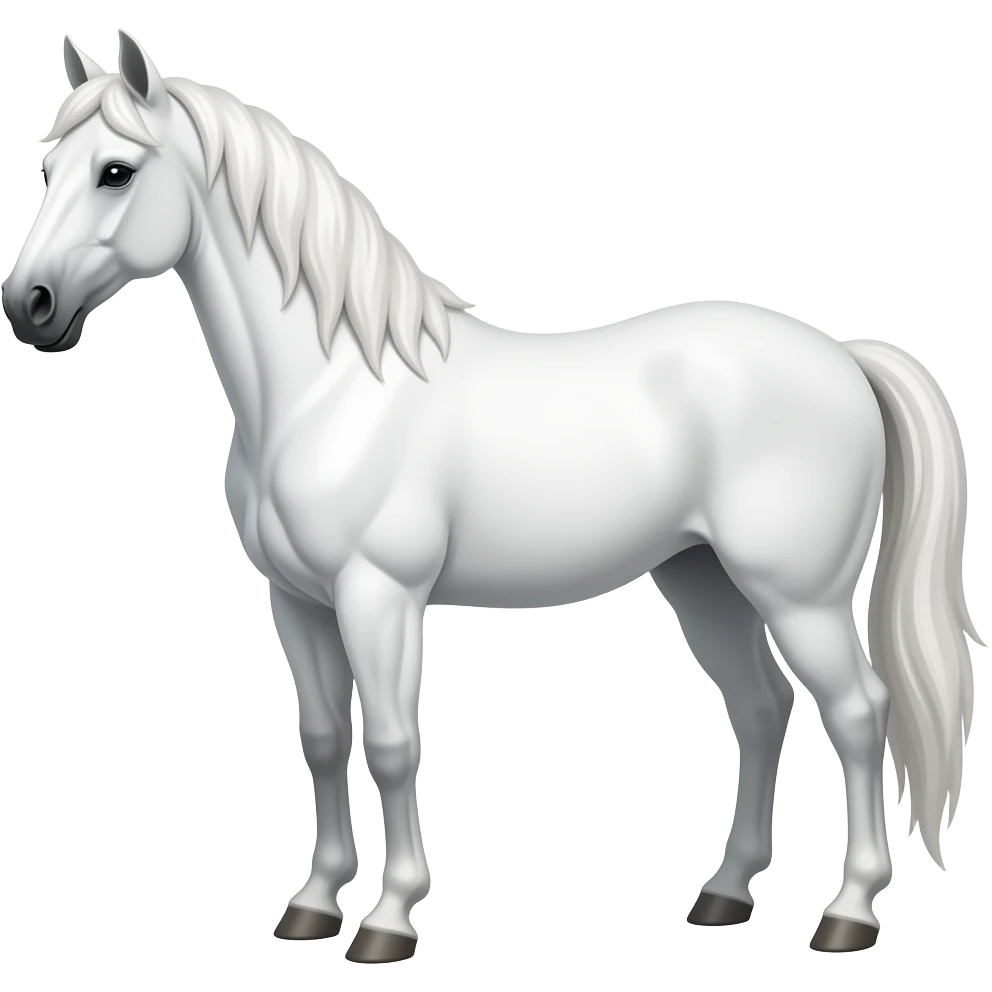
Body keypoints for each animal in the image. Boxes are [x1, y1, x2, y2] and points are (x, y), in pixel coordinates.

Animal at [2, 29, 981, 962]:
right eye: (49, 168)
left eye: (117, 171)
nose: (30, 306)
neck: (332, 387)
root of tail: (843, 356)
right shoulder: (297, 601)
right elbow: (321, 741)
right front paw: (313, 906)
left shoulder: (379, 596)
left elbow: (393, 746)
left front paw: (389, 921)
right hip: (704, 580)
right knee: (762, 708)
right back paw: (725, 894)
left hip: (797, 595)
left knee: (859, 713)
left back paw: (848, 912)